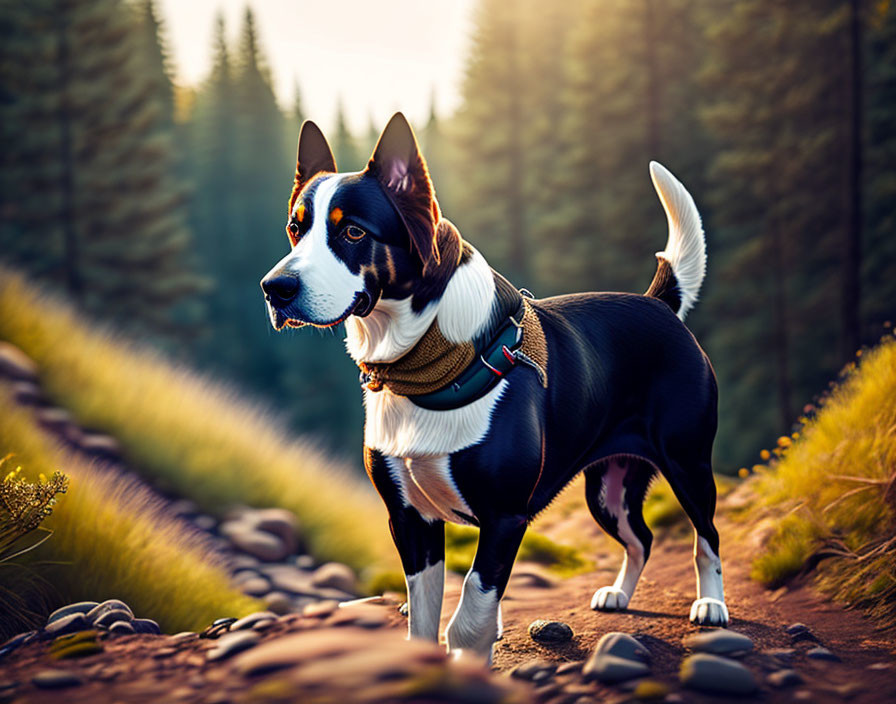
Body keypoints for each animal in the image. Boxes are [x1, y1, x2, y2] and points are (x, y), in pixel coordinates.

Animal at [260, 114, 728, 660]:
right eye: (296, 230)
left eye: (353, 231)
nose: (274, 289)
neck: (423, 366)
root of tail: (659, 304)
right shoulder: (410, 518)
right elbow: (425, 612)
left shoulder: (505, 517)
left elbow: (470, 612)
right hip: (607, 486)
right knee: (641, 537)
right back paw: (619, 594)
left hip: (687, 462)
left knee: (707, 535)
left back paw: (711, 605)